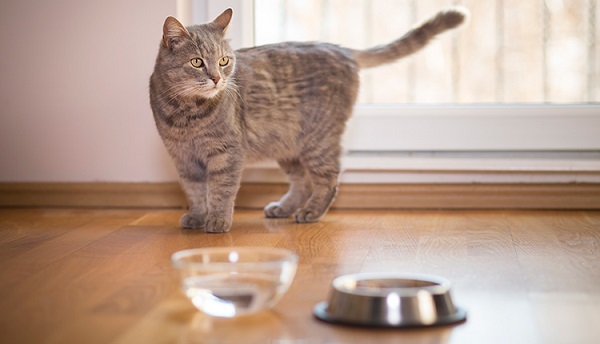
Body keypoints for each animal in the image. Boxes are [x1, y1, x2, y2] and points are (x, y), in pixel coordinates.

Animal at [150, 6, 468, 232]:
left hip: (318, 142)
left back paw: (310, 212)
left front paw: (217, 220)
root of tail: (342, 49)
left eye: (224, 61)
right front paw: (197, 216)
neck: (187, 114)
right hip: (288, 147)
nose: (217, 78)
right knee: (301, 182)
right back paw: (284, 208)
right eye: (197, 62)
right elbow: (195, 191)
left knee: (329, 180)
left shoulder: (226, 154)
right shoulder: (183, 159)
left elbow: (220, 190)